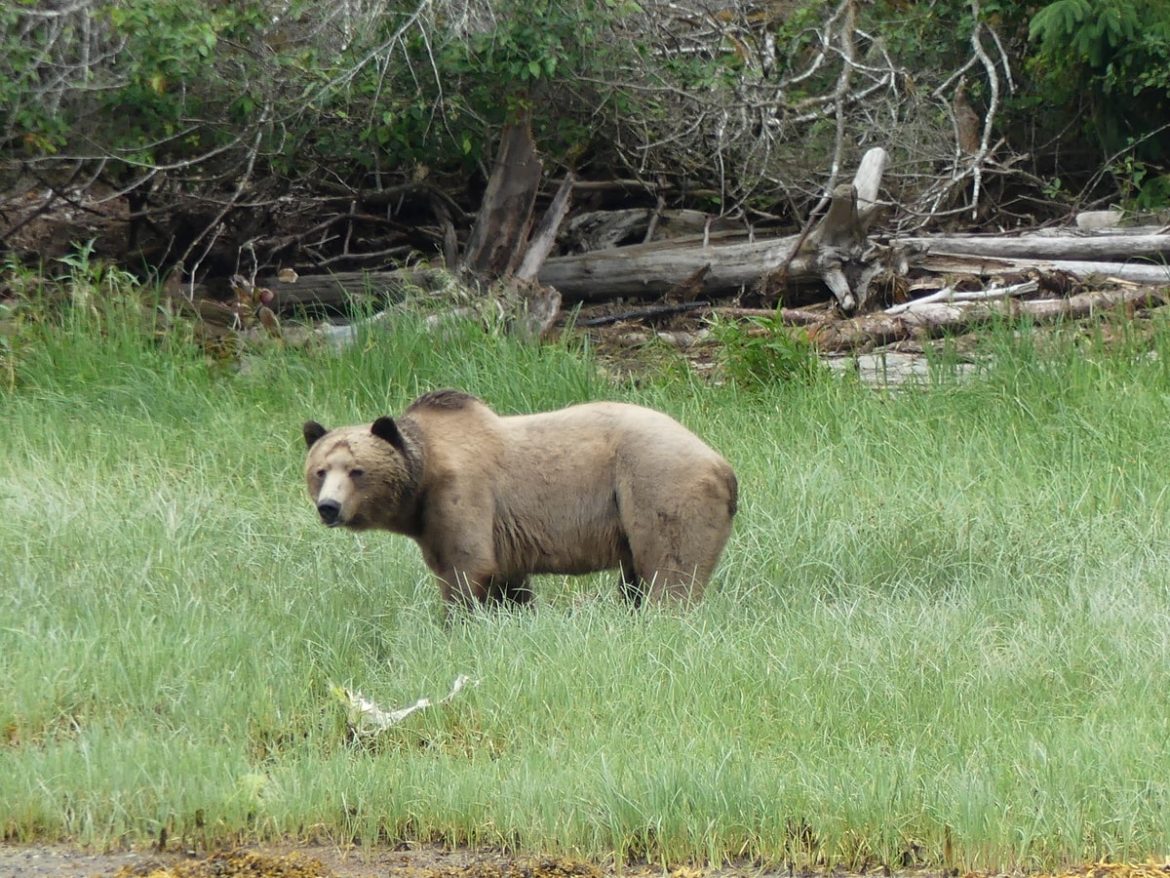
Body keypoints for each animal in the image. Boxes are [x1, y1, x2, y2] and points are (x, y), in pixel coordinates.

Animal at [306, 391, 734, 613]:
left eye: (357, 470)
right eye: (320, 471)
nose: (329, 507)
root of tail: (722, 464)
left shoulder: (461, 495)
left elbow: (466, 569)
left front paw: (455, 622)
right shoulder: (498, 533)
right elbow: (506, 582)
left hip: (656, 485)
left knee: (670, 571)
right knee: (635, 579)